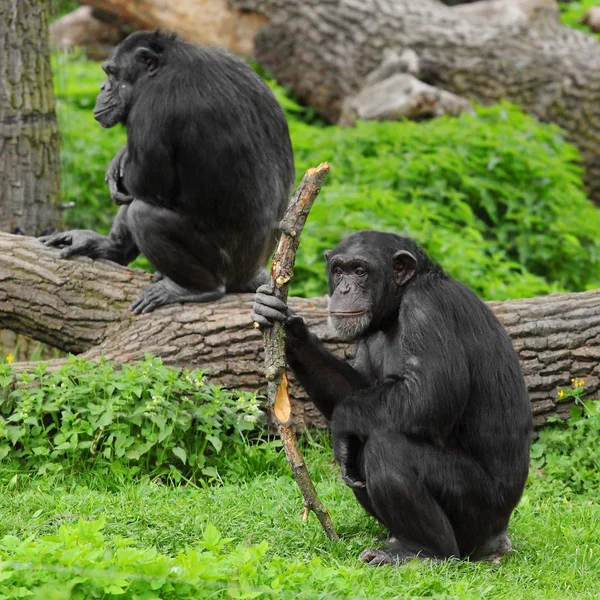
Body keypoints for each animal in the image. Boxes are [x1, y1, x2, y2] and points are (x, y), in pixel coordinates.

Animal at [41, 29, 294, 314]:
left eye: (113, 74)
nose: (103, 87)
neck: (166, 64)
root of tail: (252, 271)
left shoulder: (153, 105)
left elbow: (147, 181)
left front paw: (122, 160)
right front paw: (120, 159)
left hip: (225, 265)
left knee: (144, 213)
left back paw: (195, 288)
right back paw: (108, 246)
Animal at [251, 232, 532, 564]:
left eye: (360, 271)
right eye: (338, 271)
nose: (344, 289)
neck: (395, 312)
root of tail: (499, 539)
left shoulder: (427, 308)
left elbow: (429, 395)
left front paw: (340, 428)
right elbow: (358, 387)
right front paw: (286, 327)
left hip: (479, 513)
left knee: (387, 447)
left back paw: (420, 550)